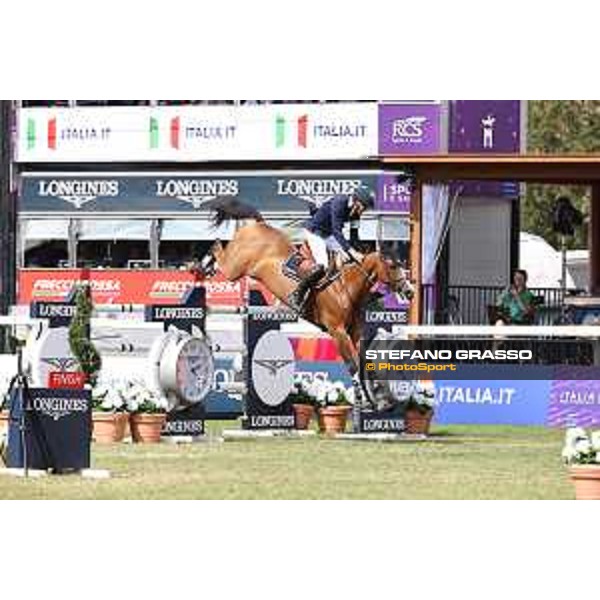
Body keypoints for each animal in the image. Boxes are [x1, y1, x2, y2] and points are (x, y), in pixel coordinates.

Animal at [196, 199, 412, 406]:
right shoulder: (337, 331)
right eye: (392, 266)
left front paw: (374, 398)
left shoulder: (354, 332)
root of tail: (258, 225)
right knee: (218, 247)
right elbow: (353, 365)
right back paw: (204, 264)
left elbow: (362, 361)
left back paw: (207, 266)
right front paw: (362, 400)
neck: (347, 288)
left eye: (401, 263)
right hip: (234, 268)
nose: (410, 292)